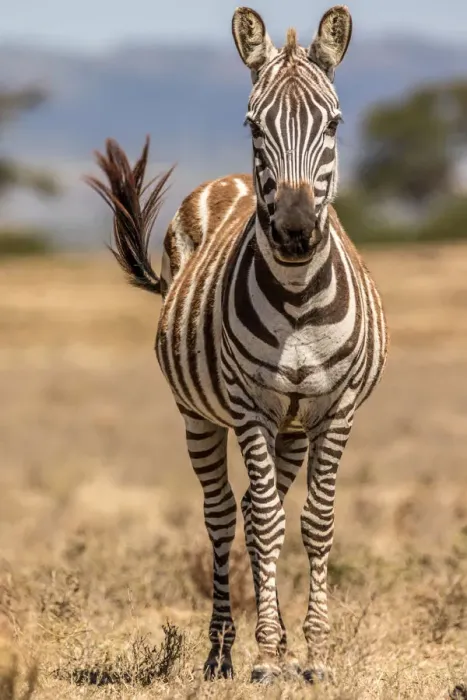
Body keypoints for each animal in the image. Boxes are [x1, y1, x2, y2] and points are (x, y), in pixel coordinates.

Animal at [86, 5, 388, 685]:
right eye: (253, 123)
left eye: (334, 122)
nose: (296, 231)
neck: (300, 296)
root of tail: (226, 180)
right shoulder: (249, 407)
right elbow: (269, 522)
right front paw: (269, 657)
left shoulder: (337, 410)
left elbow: (315, 523)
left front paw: (315, 656)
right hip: (198, 413)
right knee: (228, 513)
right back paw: (223, 650)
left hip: (292, 427)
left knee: (254, 507)